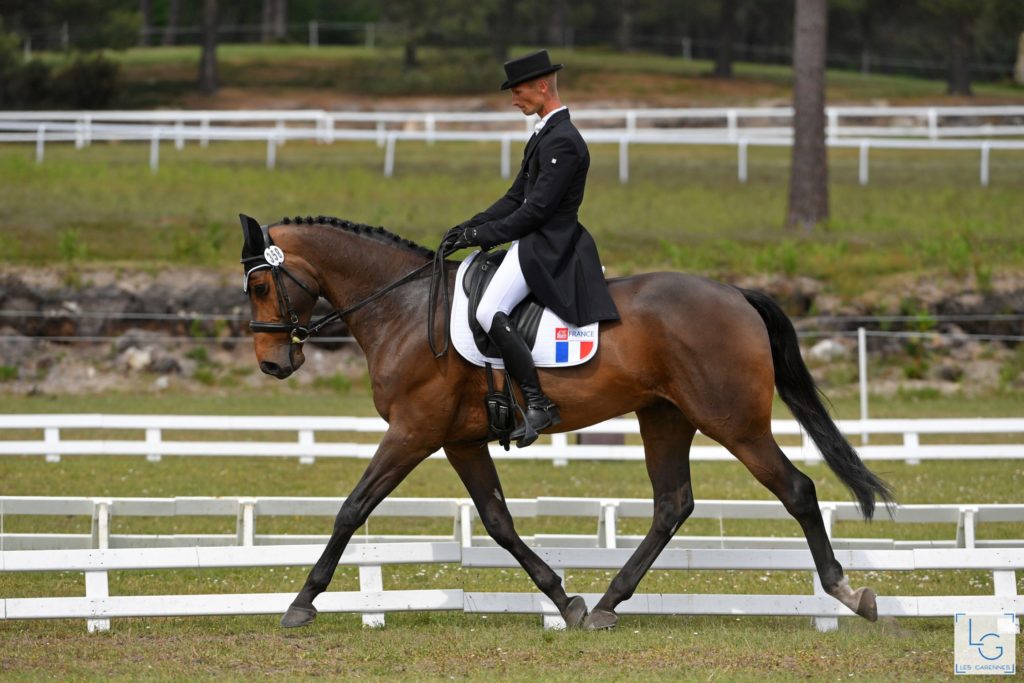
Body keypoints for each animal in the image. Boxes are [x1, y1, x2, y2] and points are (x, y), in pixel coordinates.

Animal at [243, 211, 892, 630]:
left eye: (260, 283)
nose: (273, 363)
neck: (401, 307)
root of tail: (735, 293)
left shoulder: (413, 432)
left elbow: (352, 508)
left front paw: (301, 603)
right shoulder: (459, 441)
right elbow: (499, 523)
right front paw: (563, 599)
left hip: (734, 423)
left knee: (797, 490)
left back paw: (848, 594)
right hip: (664, 416)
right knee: (672, 504)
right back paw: (605, 605)